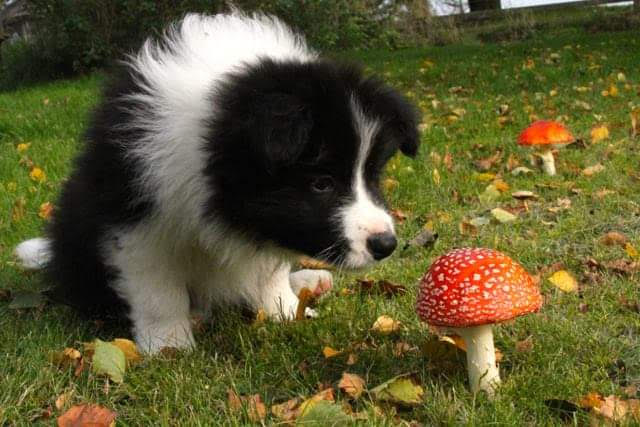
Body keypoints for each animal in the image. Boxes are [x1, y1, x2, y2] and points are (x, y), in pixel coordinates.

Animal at [15, 13, 420, 354]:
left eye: (372, 175)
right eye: (321, 184)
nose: (386, 244)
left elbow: (270, 270)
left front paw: (286, 310)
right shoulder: (136, 218)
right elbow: (157, 287)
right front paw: (168, 346)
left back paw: (308, 280)